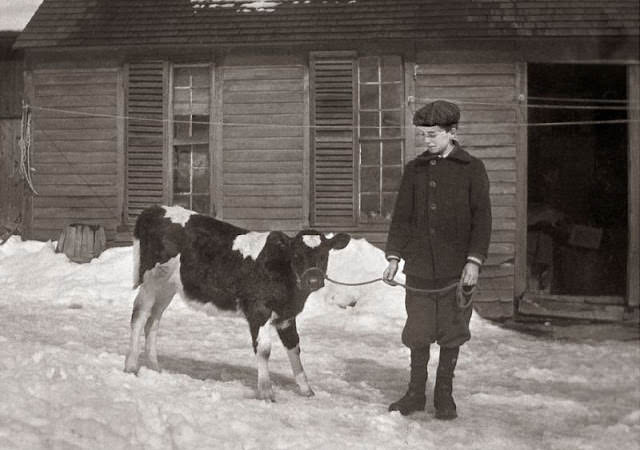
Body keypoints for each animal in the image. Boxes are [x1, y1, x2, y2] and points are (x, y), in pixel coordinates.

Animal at [124, 205, 350, 400]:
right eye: (296, 254)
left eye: (324, 254)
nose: (313, 280)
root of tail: (155, 209)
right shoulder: (258, 310)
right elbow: (264, 349)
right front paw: (266, 392)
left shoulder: (287, 315)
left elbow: (294, 346)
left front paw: (306, 390)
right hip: (152, 279)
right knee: (139, 316)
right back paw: (131, 366)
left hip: (167, 287)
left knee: (153, 321)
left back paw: (155, 368)